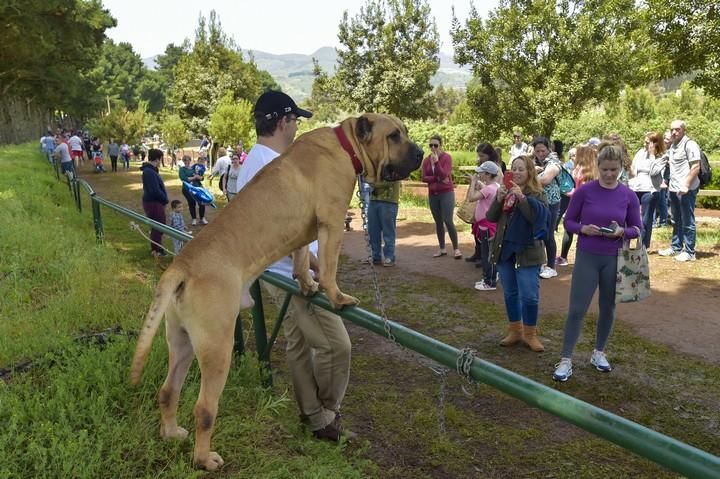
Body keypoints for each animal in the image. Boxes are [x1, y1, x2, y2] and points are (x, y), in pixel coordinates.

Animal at [131, 114, 422, 470]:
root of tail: (180, 267)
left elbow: (302, 259)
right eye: (393, 136)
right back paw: (204, 459)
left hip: (181, 340)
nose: (421, 153)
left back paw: (171, 433)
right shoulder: (331, 222)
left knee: (168, 390)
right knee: (205, 409)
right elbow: (328, 267)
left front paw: (307, 284)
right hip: (217, 348)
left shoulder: (306, 231)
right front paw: (336, 296)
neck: (346, 144)